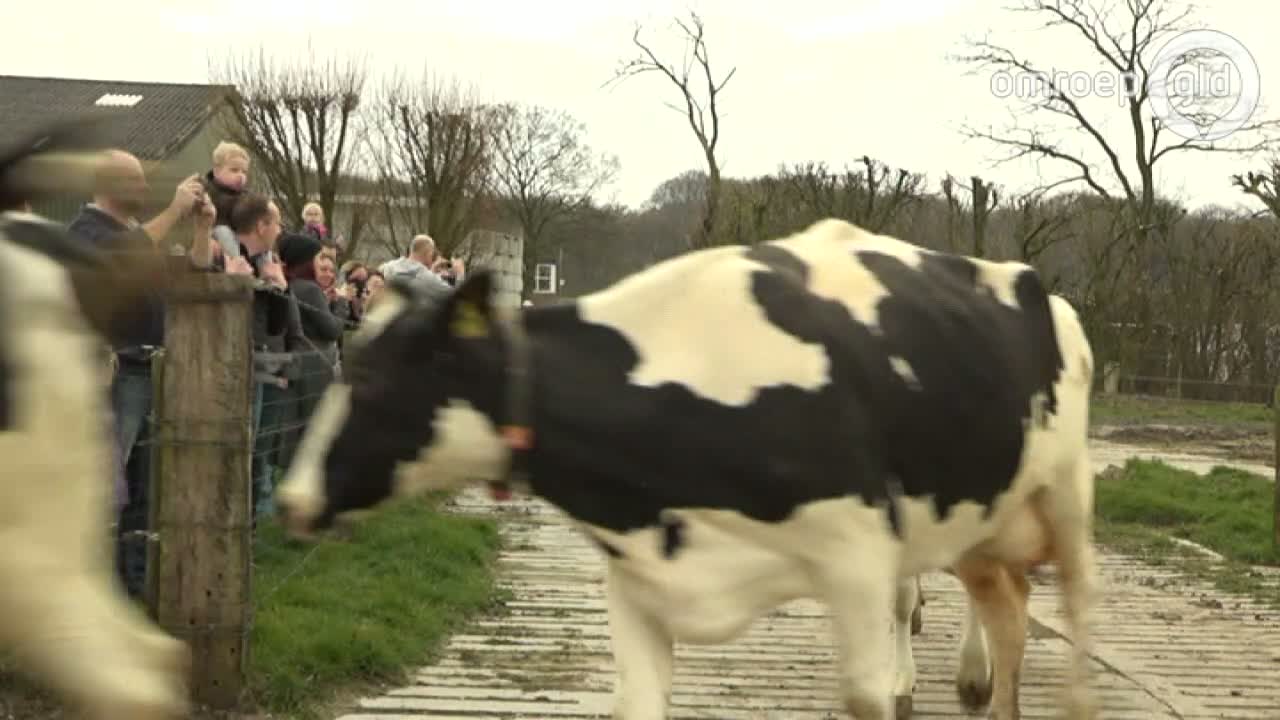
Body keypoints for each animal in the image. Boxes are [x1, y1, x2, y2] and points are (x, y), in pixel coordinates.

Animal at [275, 219, 1095, 717]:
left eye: (373, 379)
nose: (289, 499)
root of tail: (1035, 285)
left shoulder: (859, 557)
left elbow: (869, 689)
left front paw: (898, 687)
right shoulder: (640, 577)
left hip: (1064, 501)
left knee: (1065, 613)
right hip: (986, 517)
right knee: (1009, 619)